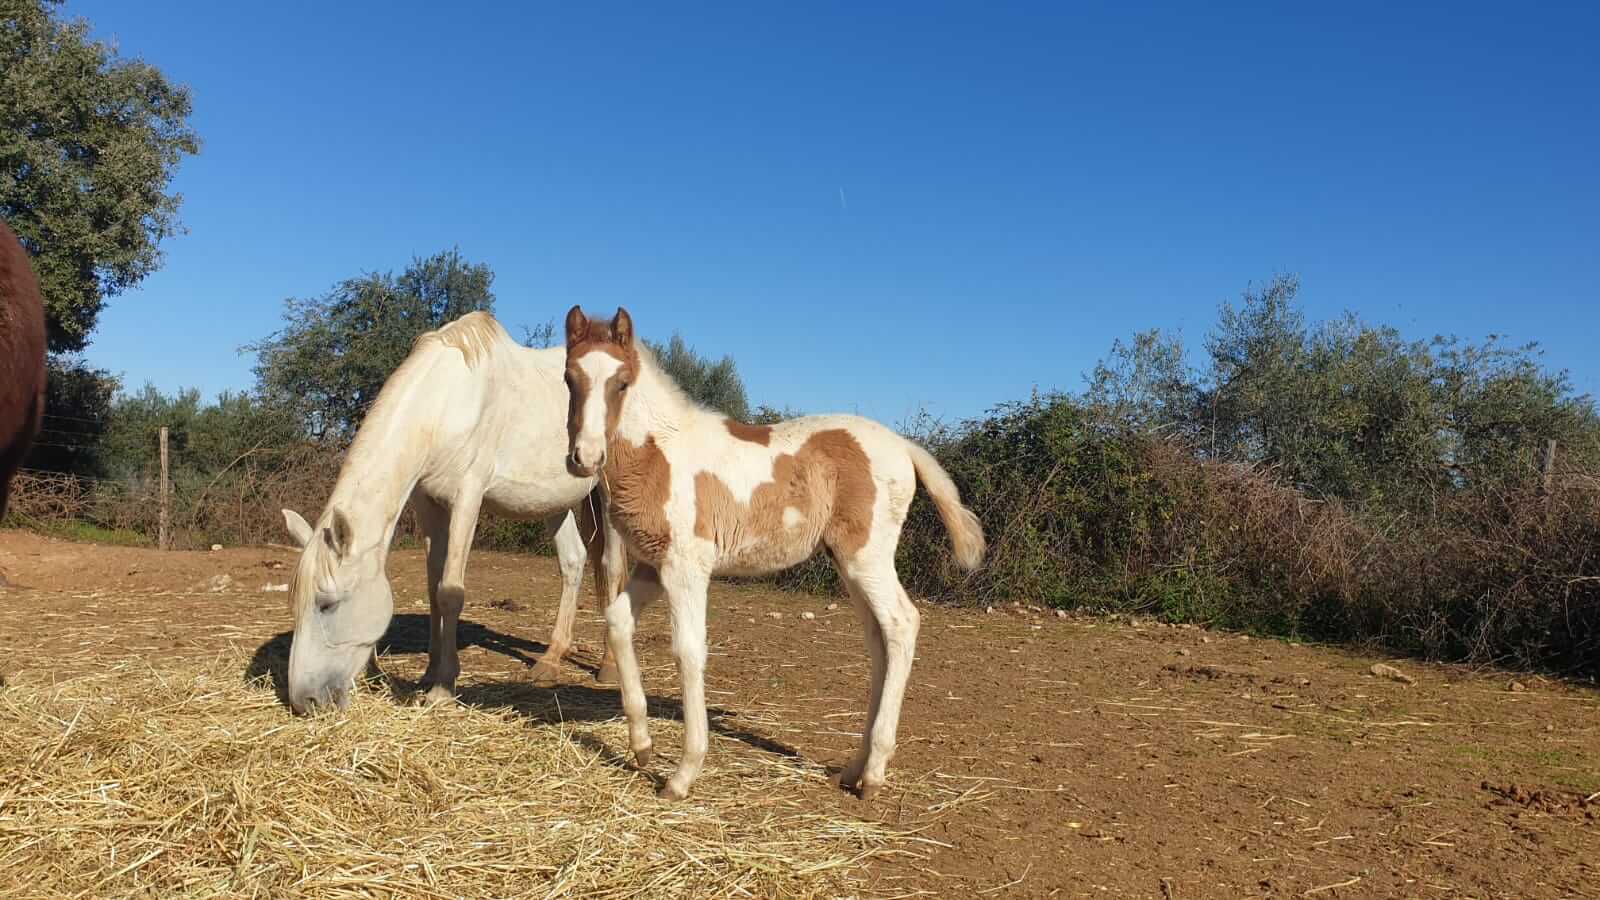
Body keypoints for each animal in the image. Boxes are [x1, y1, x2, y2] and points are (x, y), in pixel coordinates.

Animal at [282, 311, 628, 714]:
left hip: (608, 494)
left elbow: (450, 592)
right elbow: (434, 589)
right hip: (553, 503)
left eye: (327, 604)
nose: (304, 700)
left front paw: (443, 687)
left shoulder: (468, 497)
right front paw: (430, 673)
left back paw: (608, 666)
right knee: (573, 562)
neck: (447, 404)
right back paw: (550, 660)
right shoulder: (428, 503)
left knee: (611, 567)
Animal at [562, 306, 986, 801]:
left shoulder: (688, 565)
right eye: (569, 378)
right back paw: (853, 769)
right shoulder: (652, 563)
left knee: (902, 623)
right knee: (879, 641)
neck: (661, 453)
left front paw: (683, 774)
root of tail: (904, 446)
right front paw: (642, 746)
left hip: (867, 557)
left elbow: (688, 650)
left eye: (622, 382)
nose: (585, 458)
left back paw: (875, 774)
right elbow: (616, 622)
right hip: (848, 564)